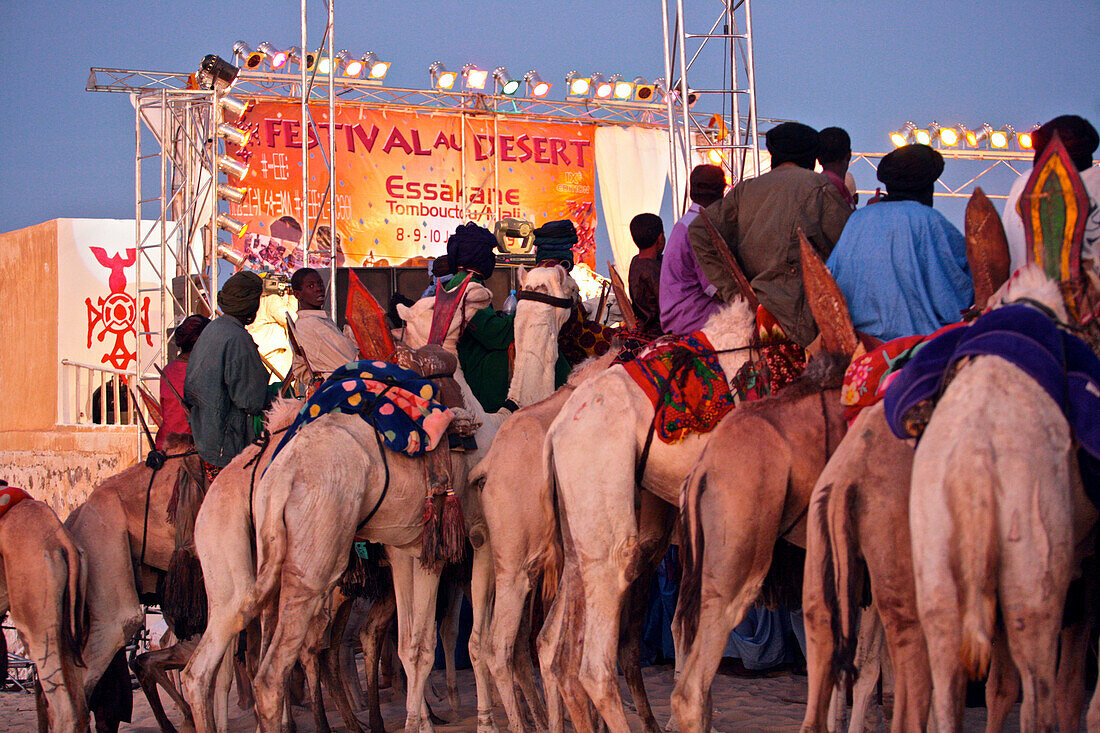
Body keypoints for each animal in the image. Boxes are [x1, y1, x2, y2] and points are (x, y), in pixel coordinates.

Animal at [906, 264, 1095, 730]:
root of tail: (975, 462)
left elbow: (999, 688)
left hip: (937, 576)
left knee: (949, 690)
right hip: (1034, 580)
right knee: (1039, 697)